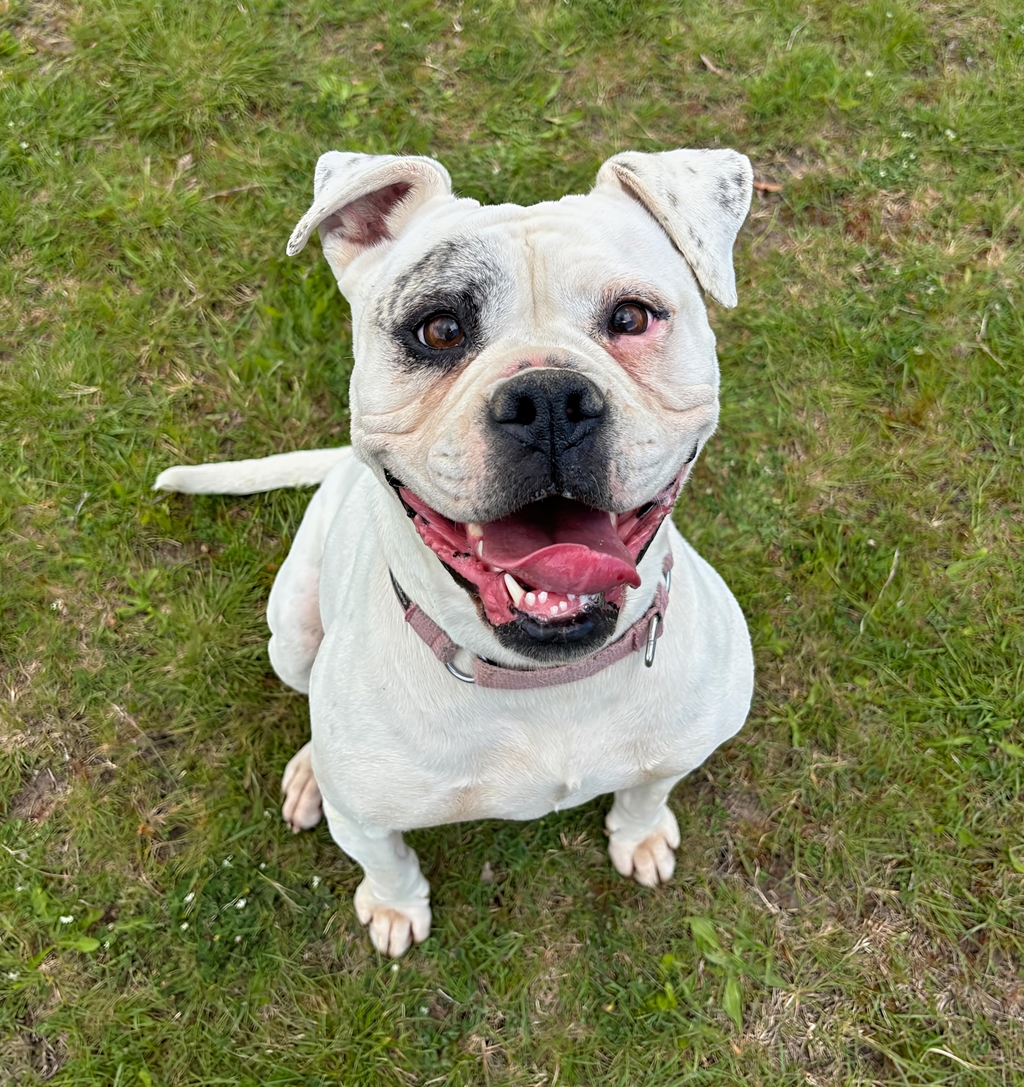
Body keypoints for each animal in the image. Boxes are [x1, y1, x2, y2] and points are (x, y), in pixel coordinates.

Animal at [155, 148, 755, 957]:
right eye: (438, 329)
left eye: (631, 316)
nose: (549, 400)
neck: (541, 685)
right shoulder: (366, 821)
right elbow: (387, 860)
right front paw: (395, 908)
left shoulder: (680, 750)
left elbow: (647, 788)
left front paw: (641, 834)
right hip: (292, 628)